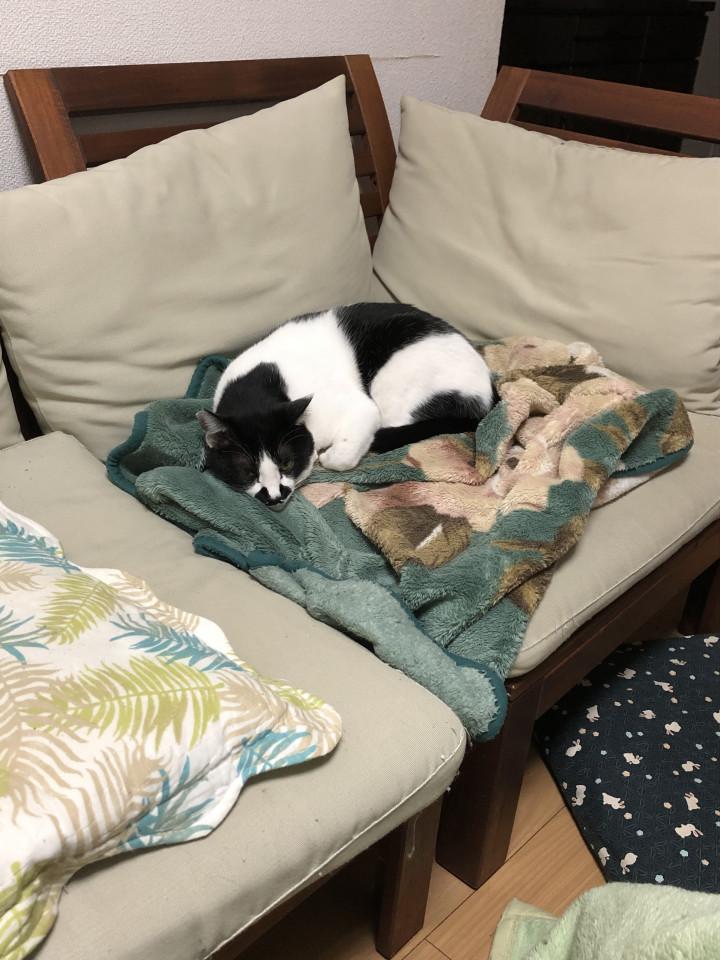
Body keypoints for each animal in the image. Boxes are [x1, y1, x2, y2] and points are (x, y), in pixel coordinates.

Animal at [197, 303, 494, 508]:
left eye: (286, 463)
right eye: (248, 472)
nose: (274, 496)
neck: (261, 385)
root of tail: (489, 393)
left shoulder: (360, 408)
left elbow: (343, 454)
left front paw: (326, 457)